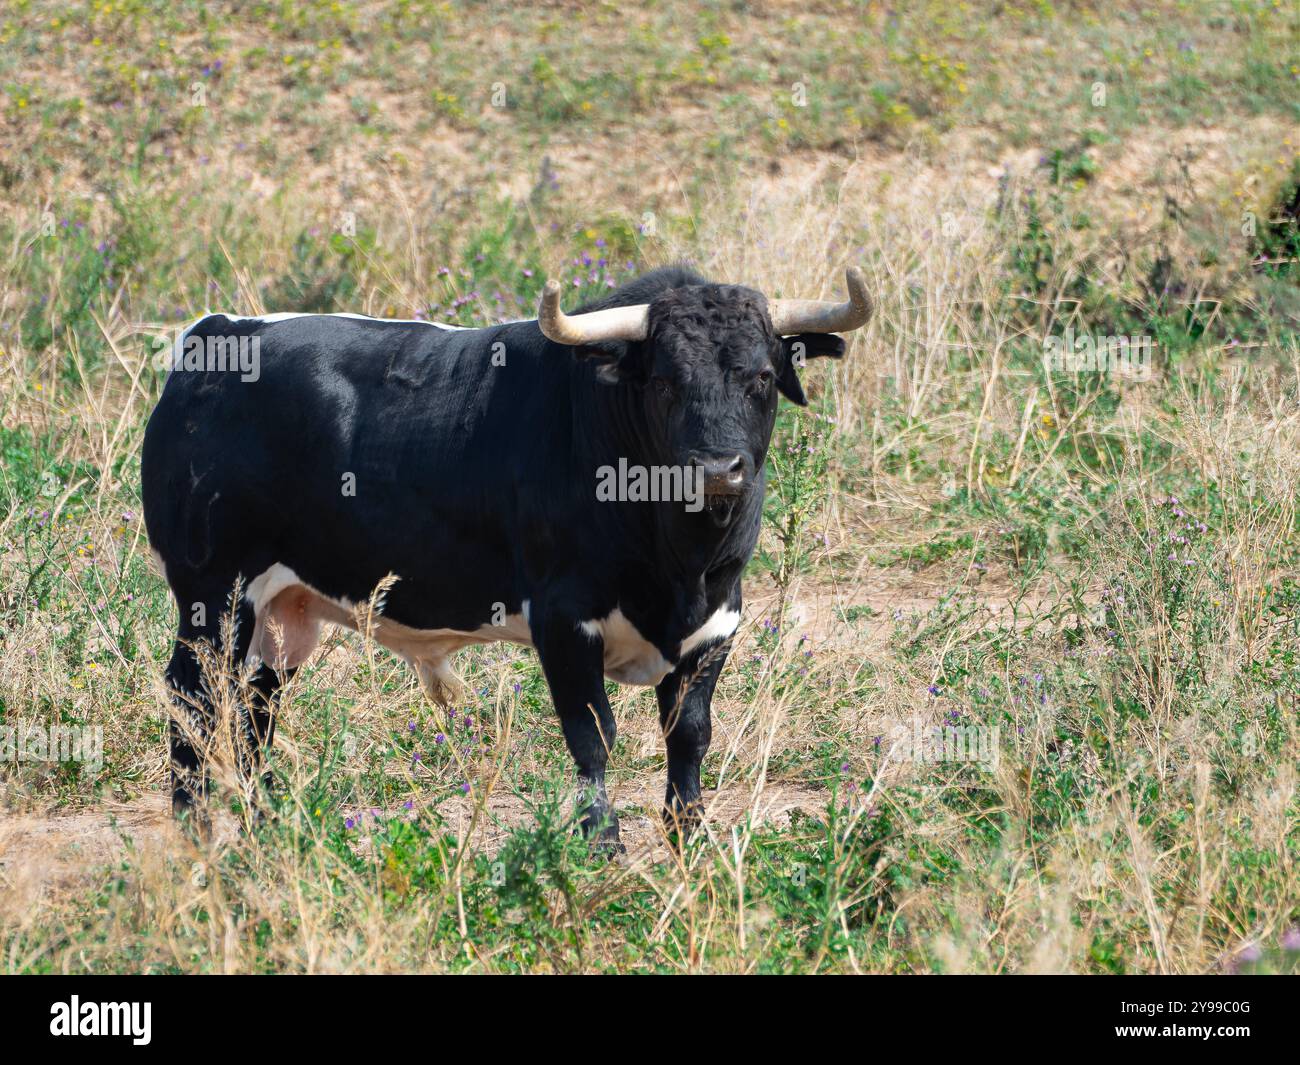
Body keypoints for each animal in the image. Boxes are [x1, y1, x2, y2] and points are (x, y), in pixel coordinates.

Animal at [142, 263, 873, 842]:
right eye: (665, 381)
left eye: (762, 377)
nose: (717, 469)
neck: (679, 566)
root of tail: (214, 334)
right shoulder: (563, 620)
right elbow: (592, 734)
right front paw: (602, 845)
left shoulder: (715, 628)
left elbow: (689, 737)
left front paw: (689, 844)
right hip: (213, 593)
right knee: (193, 701)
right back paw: (196, 835)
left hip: (284, 614)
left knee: (254, 714)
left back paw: (264, 834)